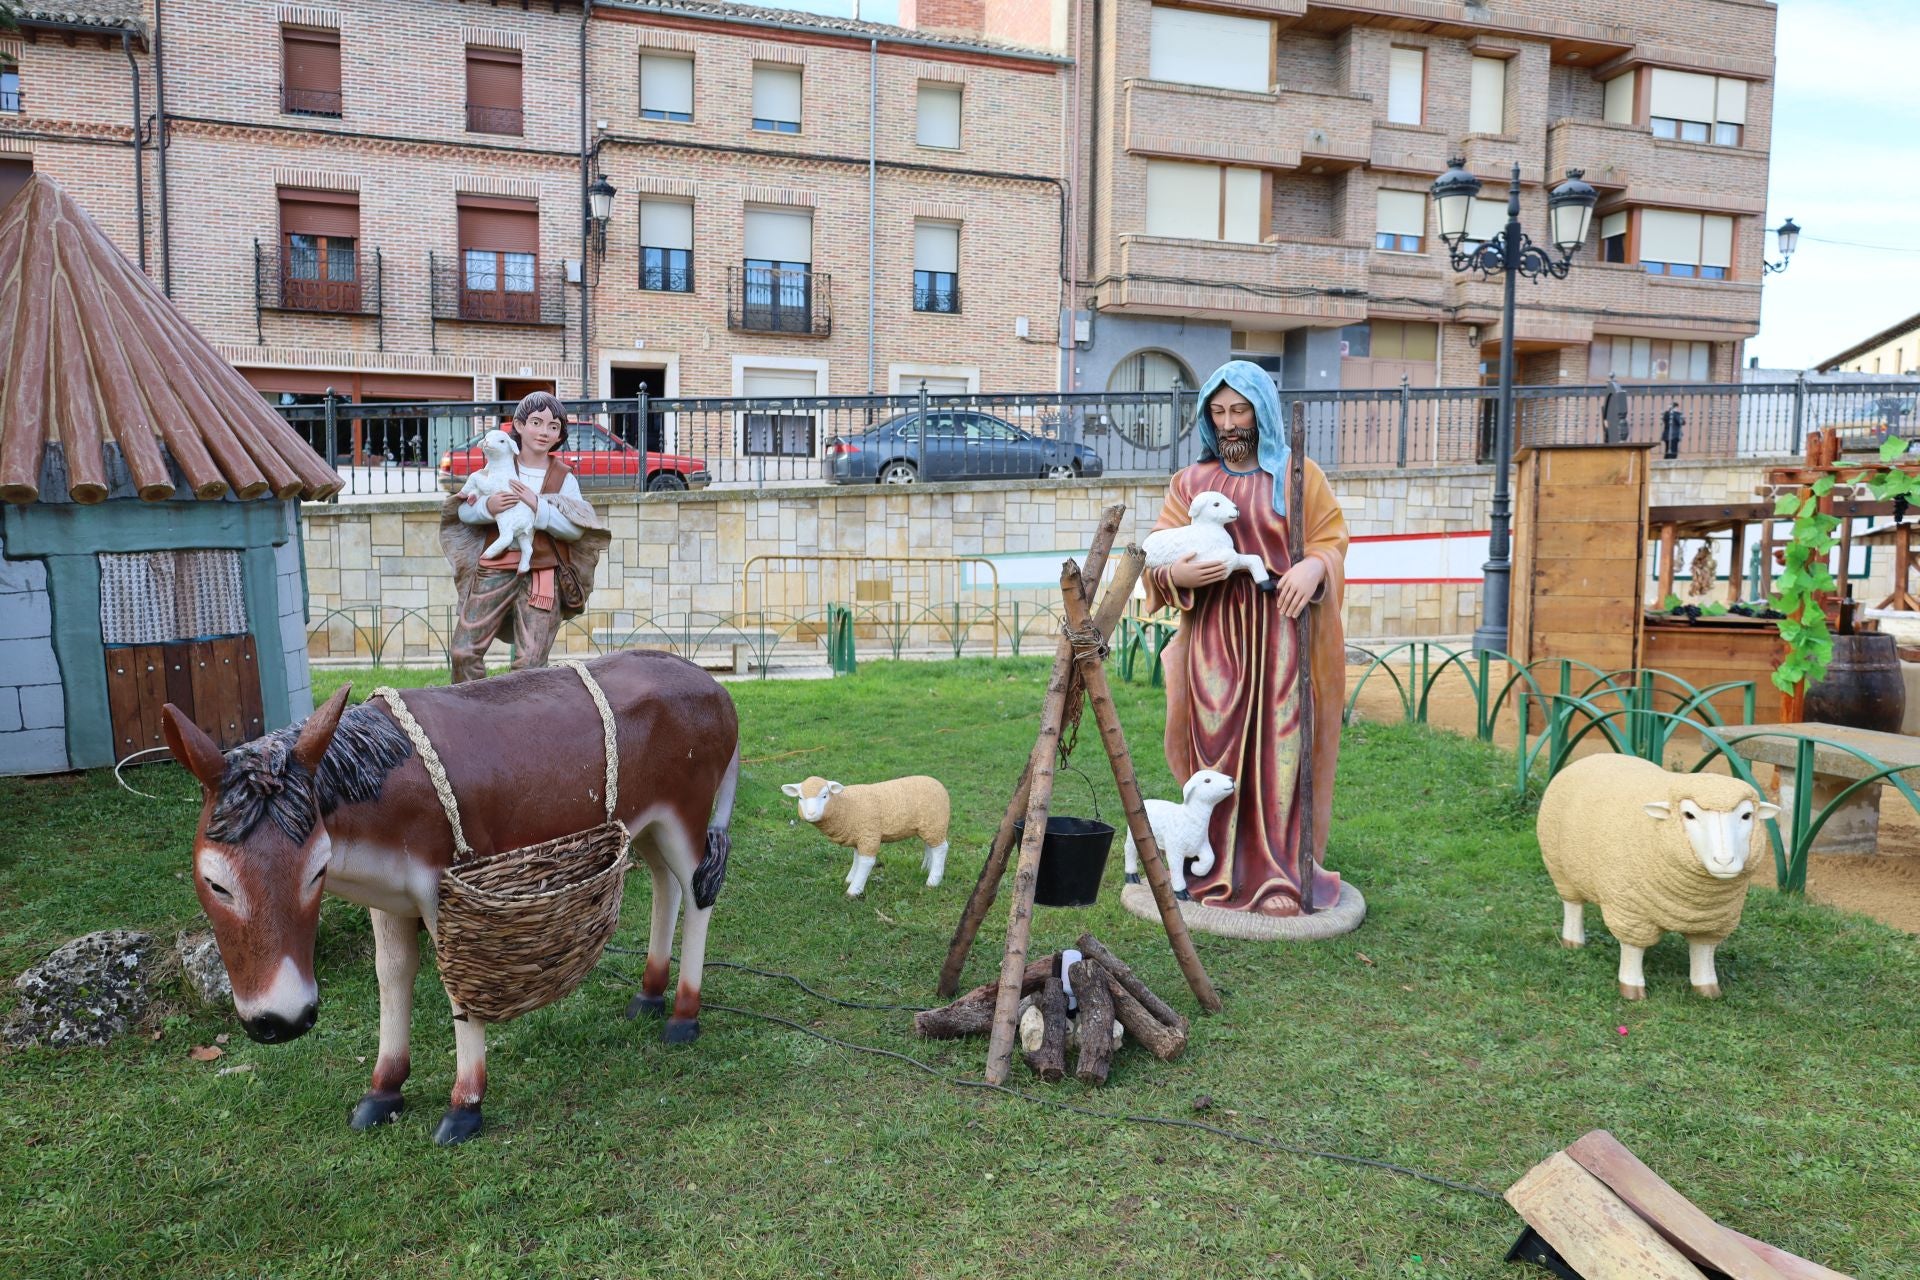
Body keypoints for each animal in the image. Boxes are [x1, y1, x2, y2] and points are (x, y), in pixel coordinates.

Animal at [470, 427, 545, 571]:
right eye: (486, 437)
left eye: (502, 441)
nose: (486, 442)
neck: (499, 466)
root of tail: (526, 524)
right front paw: (470, 496)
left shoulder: (491, 485)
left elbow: (474, 476)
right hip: (524, 535)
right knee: (528, 549)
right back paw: (522, 569)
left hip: (506, 522)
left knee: (507, 538)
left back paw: (487, 555)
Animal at [1136, 495, 1274, 594]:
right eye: (1216, 504)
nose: (1237, 509)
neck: (1208, 529)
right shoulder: (1202, 556)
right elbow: (1232, 557)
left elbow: (1254, 558)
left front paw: (1265, 583)